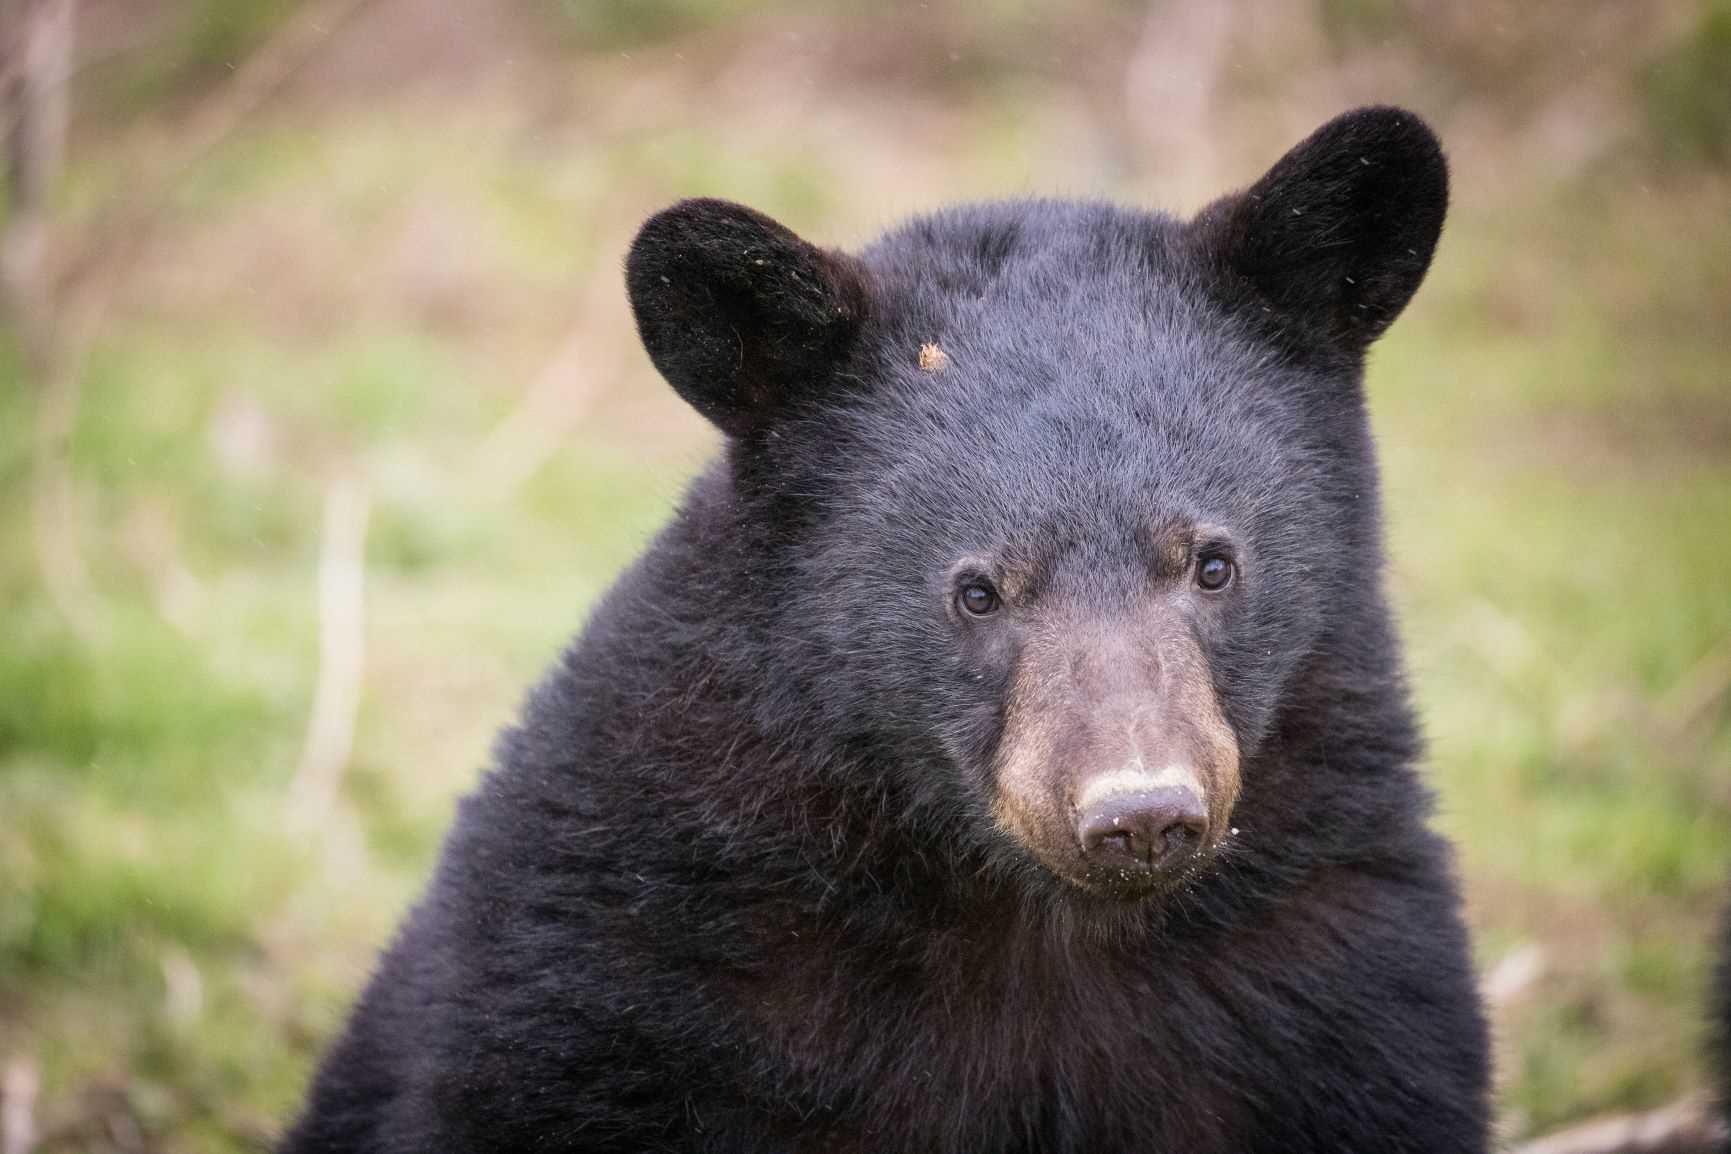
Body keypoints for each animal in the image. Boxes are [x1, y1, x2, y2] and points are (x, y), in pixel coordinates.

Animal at [280, 108, 1488, 1154]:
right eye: (976, 590)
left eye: (1212, 562)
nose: (1138, 813)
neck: (1043, 927)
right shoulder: (621, 970)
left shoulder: (1329, 975)